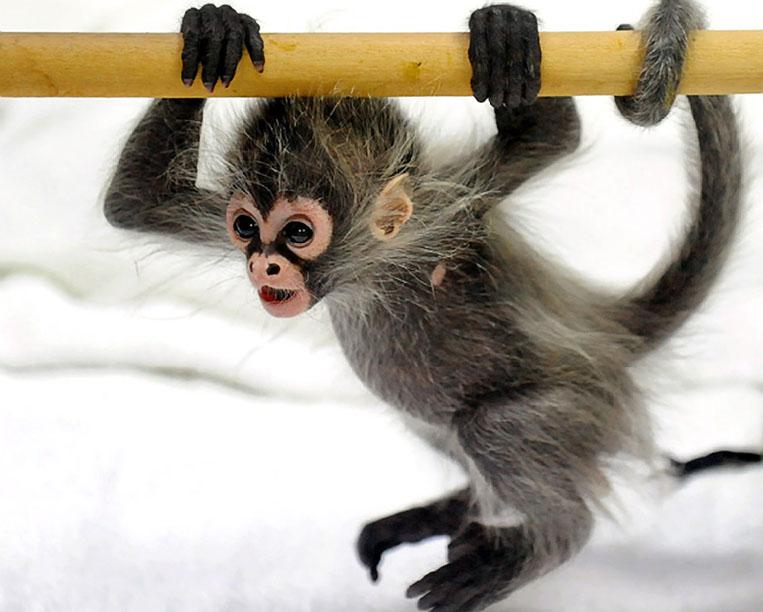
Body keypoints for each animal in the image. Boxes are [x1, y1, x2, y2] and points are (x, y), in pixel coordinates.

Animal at [103, 1, 743, 610]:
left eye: (298, 234)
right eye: (244, 227)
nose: (263, 265)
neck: (367, 275)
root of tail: (612, 341)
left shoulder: (450, 211)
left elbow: (554, 134)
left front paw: (505, 35)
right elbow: (134, 202)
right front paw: (217, 31)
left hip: (578, 408)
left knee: (493, 427)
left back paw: (546, 541)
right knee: (446, 429)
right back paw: (455, 512)